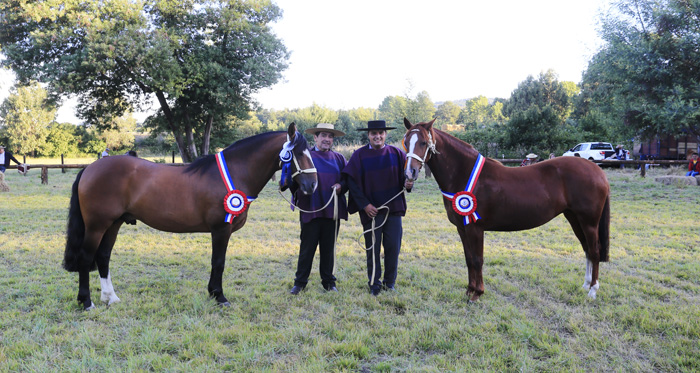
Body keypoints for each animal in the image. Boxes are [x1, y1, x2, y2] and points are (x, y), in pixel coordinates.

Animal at [65, 122, 318, 308]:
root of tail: (90, 167)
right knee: (87, 258)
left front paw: (213, 293)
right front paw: (219, 296)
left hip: (113, 224)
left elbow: (217, 262)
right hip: (97, 226)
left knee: (103, 257)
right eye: (298, 153)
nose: (312, 185)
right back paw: (86, 302)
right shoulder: (221, 229)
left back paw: (111, 298)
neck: (235, 173)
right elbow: (218, 262)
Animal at [402, 117, 608, 300]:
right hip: (574, 218)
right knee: (587, 249)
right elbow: (469, 259)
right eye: (405, 142)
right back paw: (586, 285)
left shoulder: (475, 228)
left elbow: (477, 259)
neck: (465, 173)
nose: (410, 172)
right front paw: (469, 290)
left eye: (423, 142)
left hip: (589, 222)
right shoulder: (462, 227)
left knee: (594, 250)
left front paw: (477, 293)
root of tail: (597, 170)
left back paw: (592, 291)